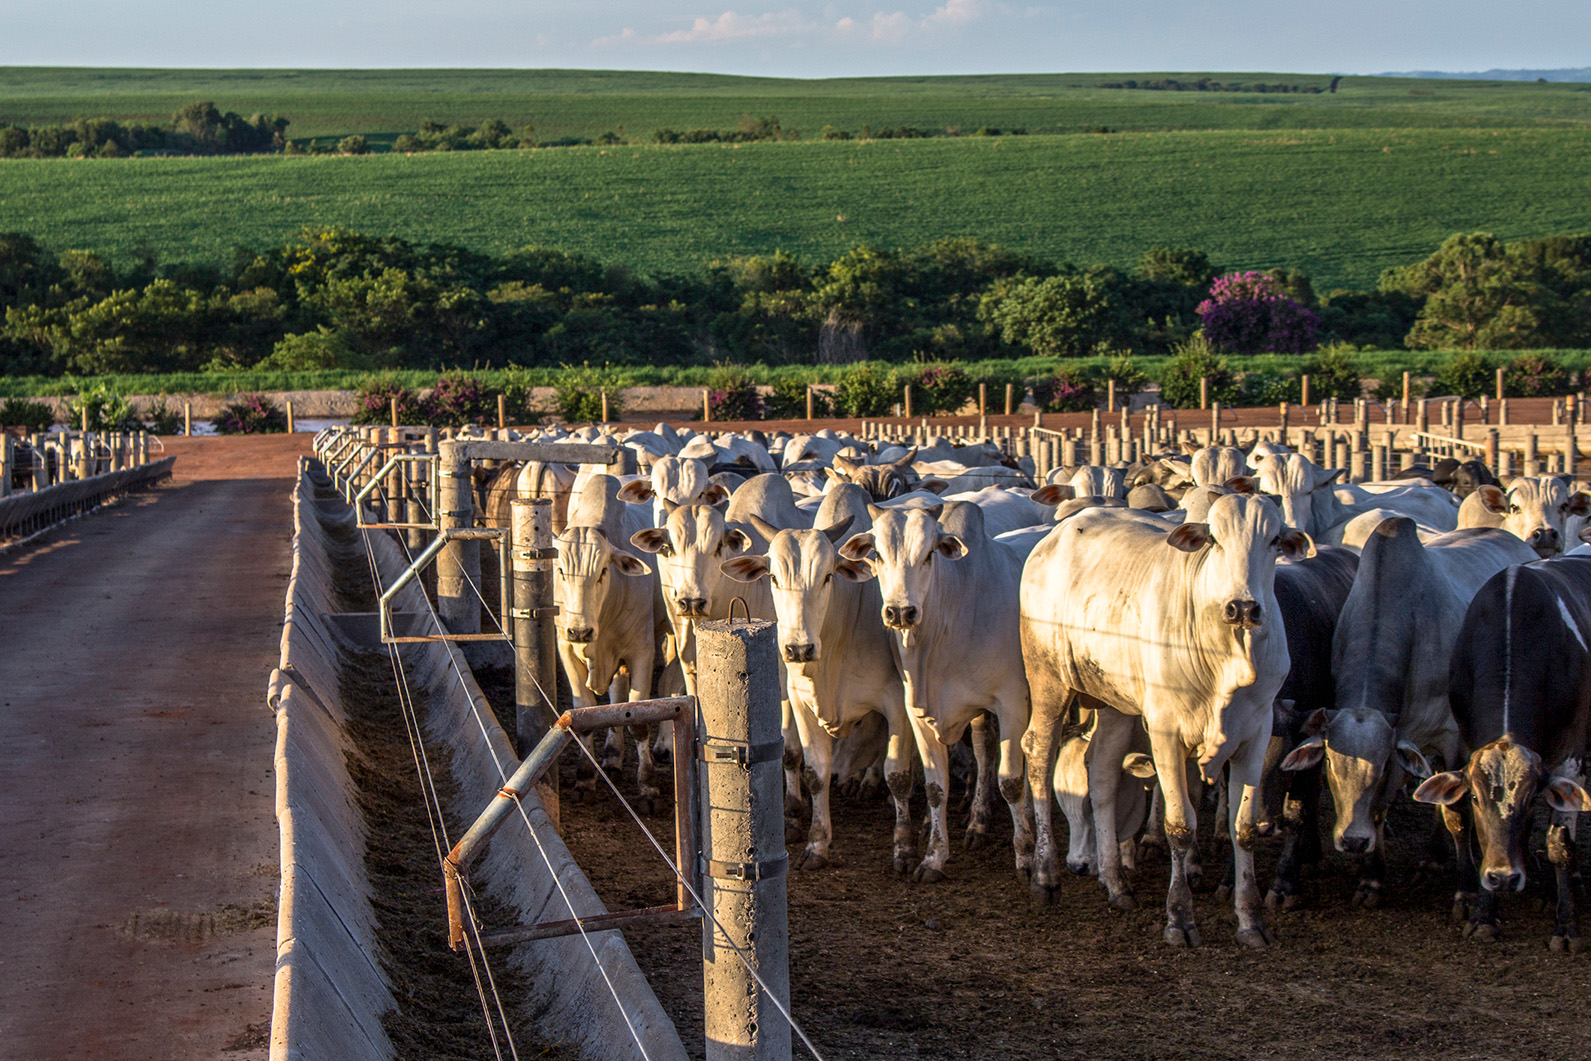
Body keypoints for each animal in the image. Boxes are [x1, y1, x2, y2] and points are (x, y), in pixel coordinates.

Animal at [1024, 493, 1310, 948]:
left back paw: (1116, 883)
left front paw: (1250, 921)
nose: (1243, 607)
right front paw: (1179, 918)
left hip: (1114, 704)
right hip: (1048, 679)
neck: (1226, 657)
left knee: (1101, 772)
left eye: (1274, 540)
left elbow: (1243, 828)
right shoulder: (1165, 730)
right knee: (1037, 754)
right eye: (1215, 539)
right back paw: (1045, 877)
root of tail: (1058, 534)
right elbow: (1179, 825)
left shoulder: (1256, 732)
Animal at [1425, 559, 1591, 948]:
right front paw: (1482, 914)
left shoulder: (1572, 757)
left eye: (1531, 800)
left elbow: (1560, 841)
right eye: (1475, 797)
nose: (1503, 877)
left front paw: (1567, 926)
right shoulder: (1464, 740)